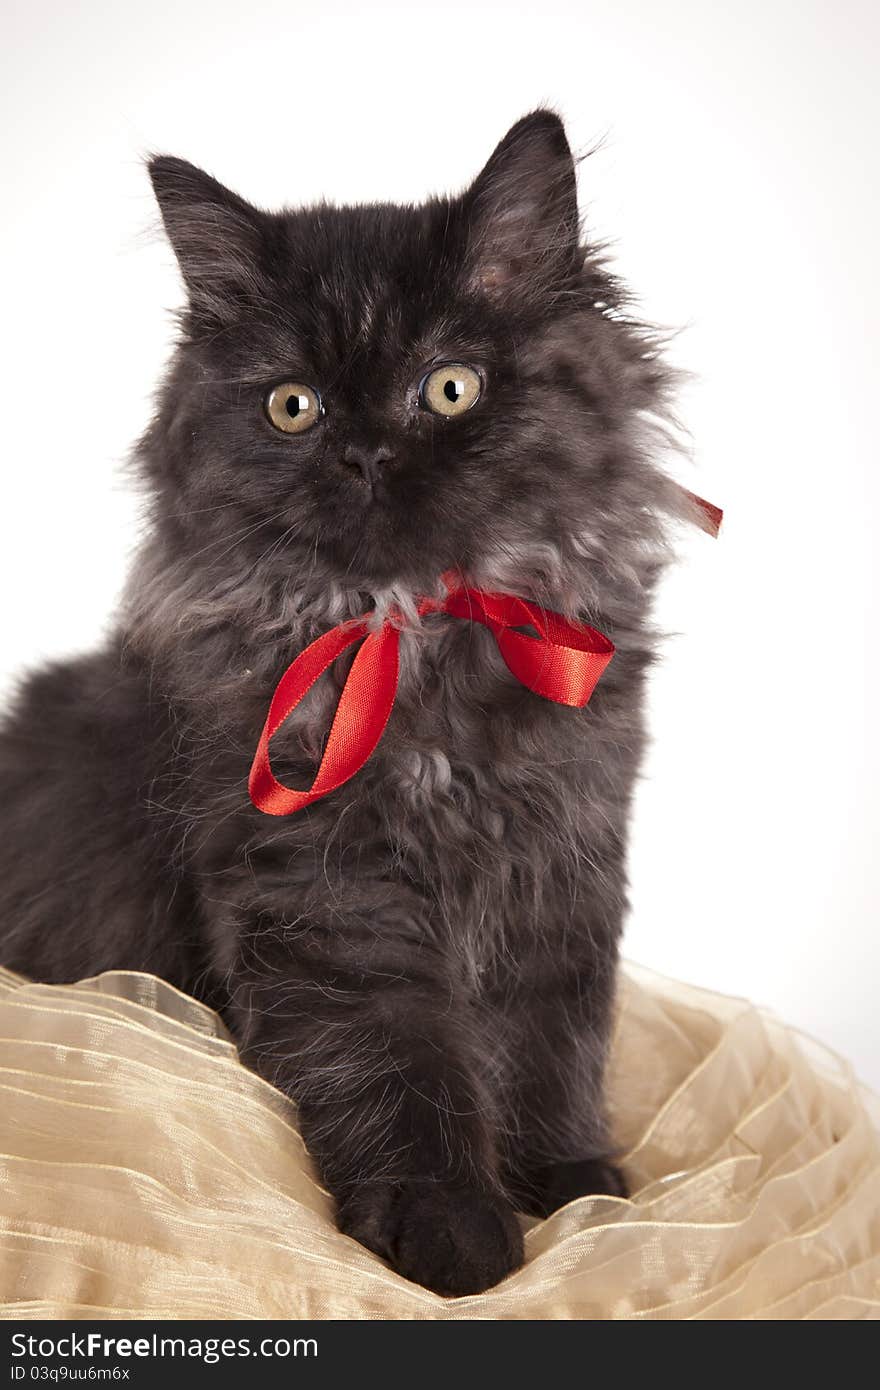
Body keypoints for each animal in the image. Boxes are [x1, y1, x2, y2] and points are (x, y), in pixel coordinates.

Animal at [0, 113, 700, 1295]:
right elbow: (400, 1065)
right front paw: (456, 1229)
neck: (417, 638)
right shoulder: (330, 896)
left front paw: (573, 1189)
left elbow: (548, 1044)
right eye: (294, 406)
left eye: (450, 387)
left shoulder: (562, 861)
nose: (366, 452)